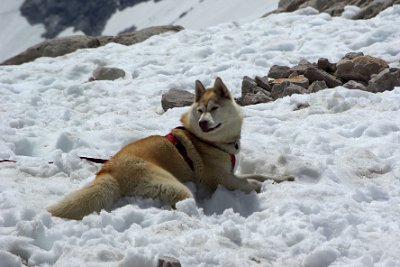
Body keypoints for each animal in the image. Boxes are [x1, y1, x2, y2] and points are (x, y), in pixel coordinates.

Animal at [47, 77, 294, 220]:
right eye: (201, 111)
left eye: (214, 108)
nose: (203, 123)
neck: (210, 141)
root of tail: (107, 170)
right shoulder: (220, 178)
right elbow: (248, 182)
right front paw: (258, 186)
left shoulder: (232, 171)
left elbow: (262, 174)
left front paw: (284, 179)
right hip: (172, 185)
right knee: (182, 204)